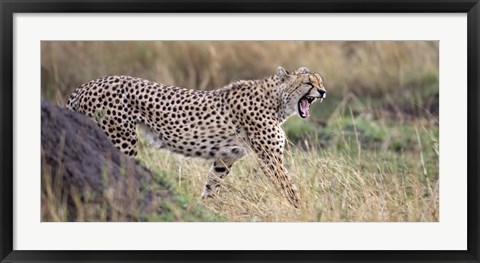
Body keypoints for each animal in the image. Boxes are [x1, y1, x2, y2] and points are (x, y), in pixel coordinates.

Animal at [66, 67, 326, 208]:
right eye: (308, 83)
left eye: (320, 82)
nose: (323, 92)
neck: (277, 101)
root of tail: (87, 84)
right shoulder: (270, 158)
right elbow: (289, 187)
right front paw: (302, 211)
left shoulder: (225, 159)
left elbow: (212, 186)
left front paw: (205, 208)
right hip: (121, 139)